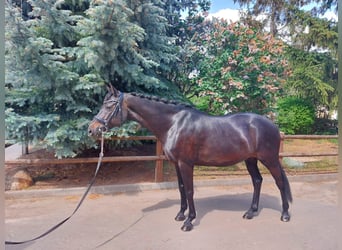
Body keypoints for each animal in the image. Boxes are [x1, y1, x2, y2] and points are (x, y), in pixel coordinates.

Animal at [88, 85, 292, 231]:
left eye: (109, 105)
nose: (92, 129)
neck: (173, 124)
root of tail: (273, 125)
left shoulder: (186, 164)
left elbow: (189, 190)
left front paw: (189, 221)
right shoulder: (176, 164)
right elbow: (180, 188)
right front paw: (180, 214)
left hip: (269, 159)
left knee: (279, 182)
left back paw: (285, 215)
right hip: (250, 159)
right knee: (257, 180)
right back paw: (251, 212)